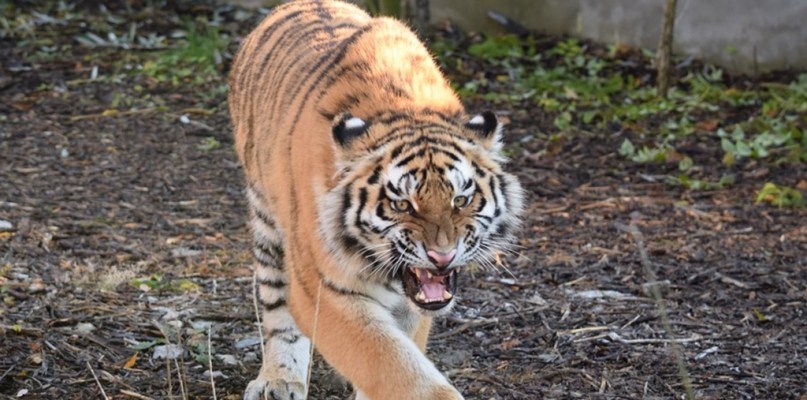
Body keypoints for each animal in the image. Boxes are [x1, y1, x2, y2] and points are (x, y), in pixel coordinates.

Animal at [229, 1, 524, 398]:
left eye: (461, 200)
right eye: (402, 205)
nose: (442, 256)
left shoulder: (411, 307)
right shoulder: (325, 289)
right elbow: (391, 364)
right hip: (269, 225)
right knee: (277, 307)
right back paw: (278, 379)